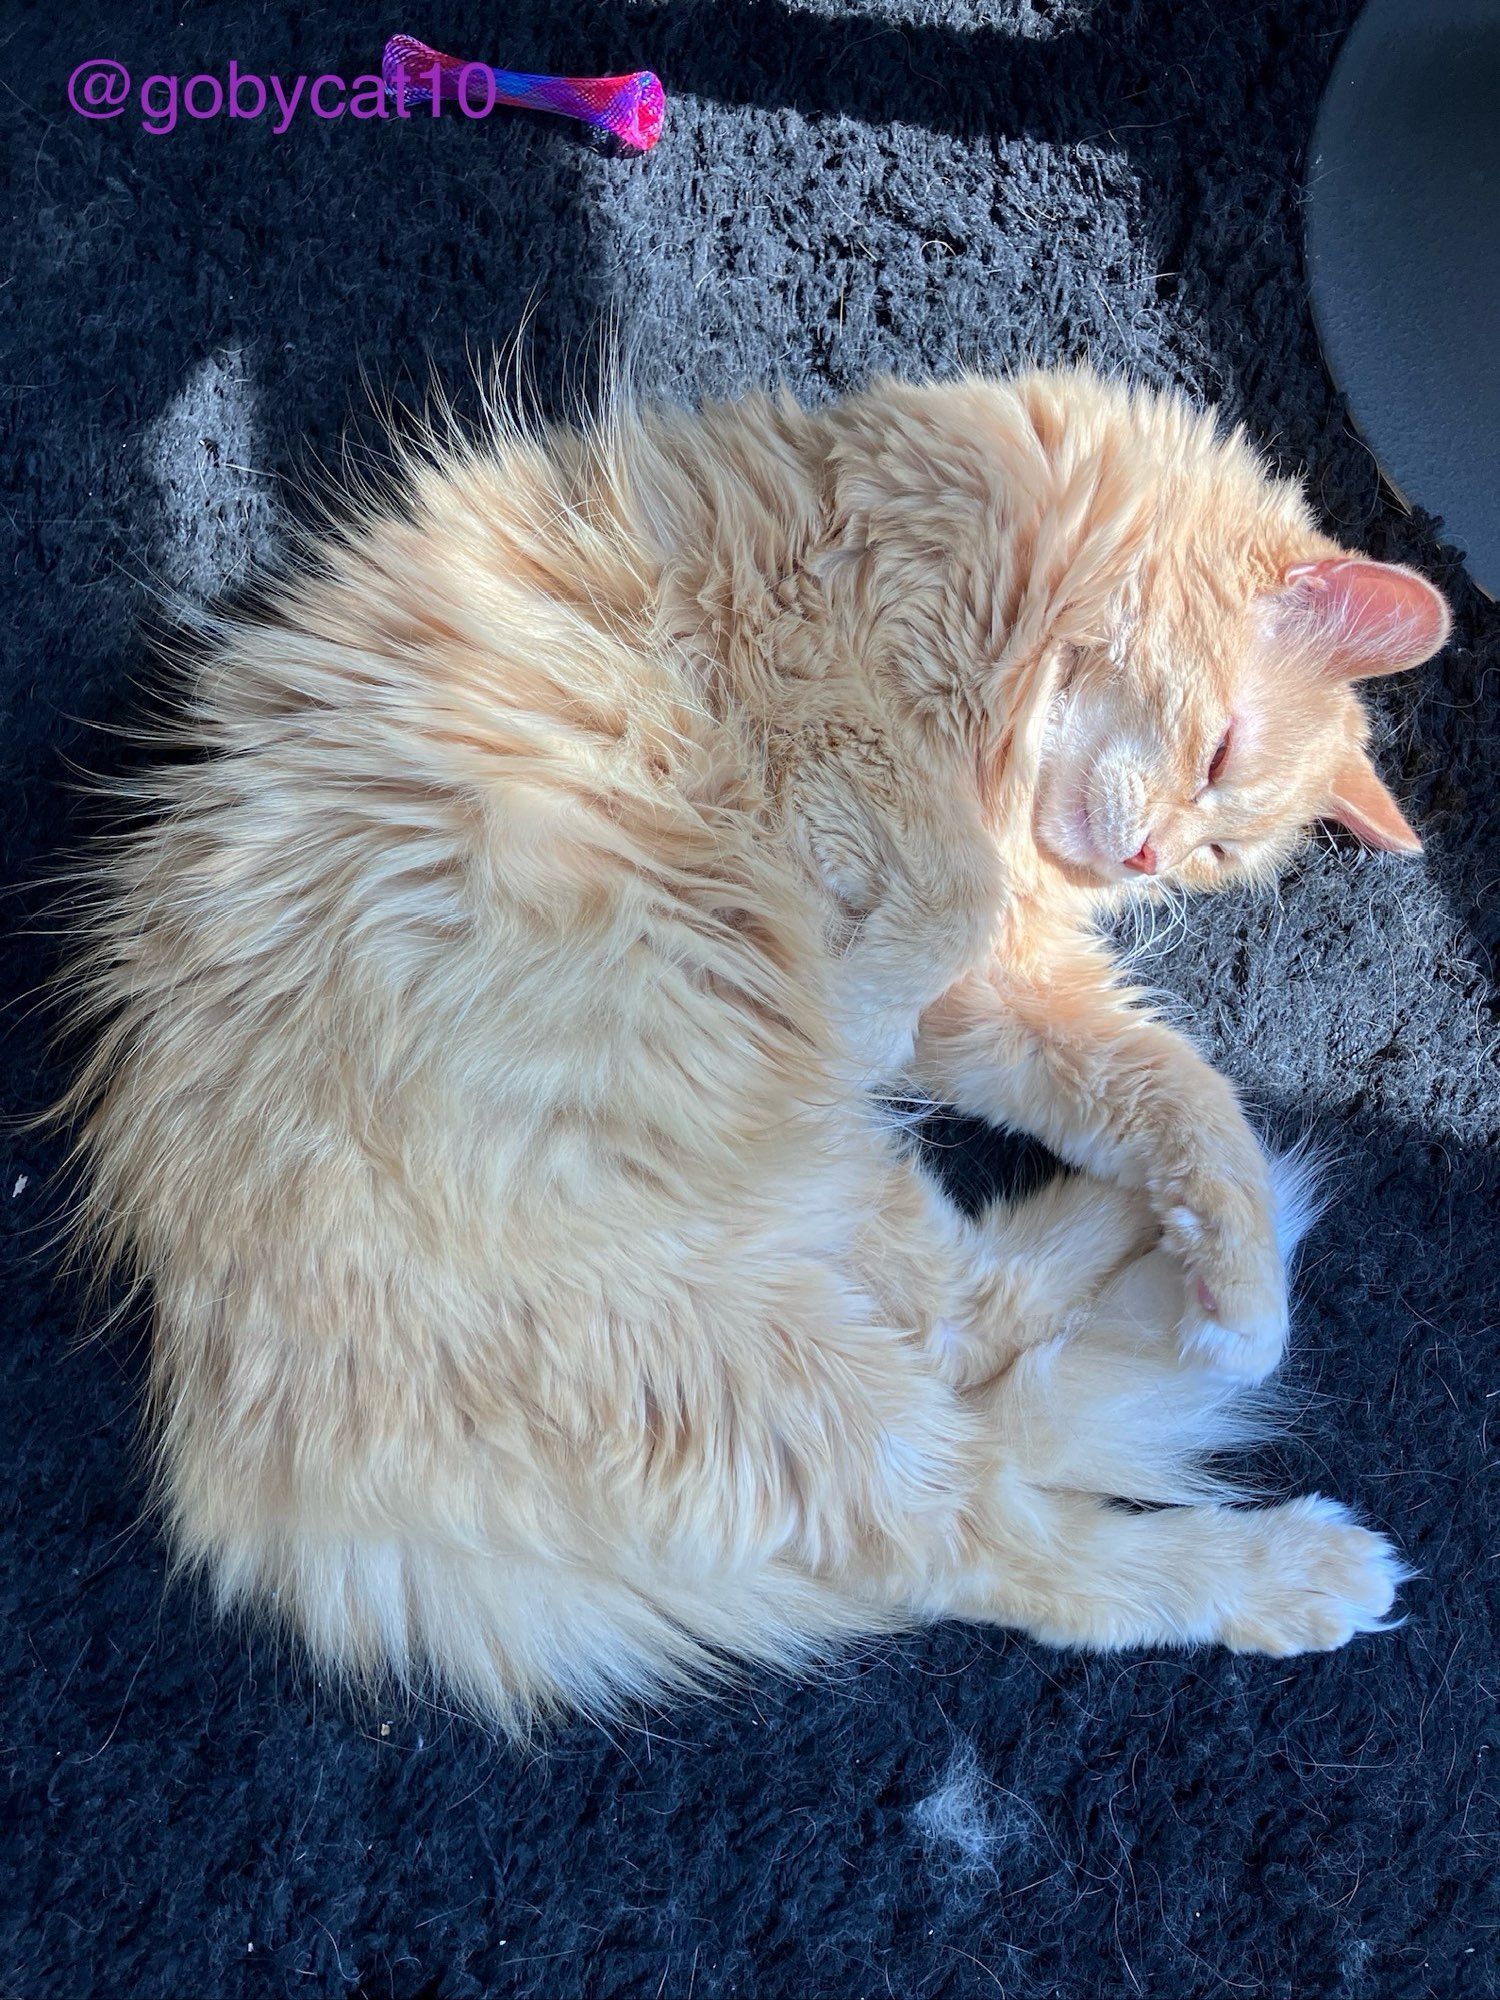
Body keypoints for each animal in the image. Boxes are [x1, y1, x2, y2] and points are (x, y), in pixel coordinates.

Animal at [64, 368, 1448, 1728]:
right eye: (1217, 754)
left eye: (1216, 854)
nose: (1150, 858)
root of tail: (265, 1475)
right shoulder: (831, 720)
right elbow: (948, 897)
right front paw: (865, 995)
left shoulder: (995, 1003)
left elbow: (1174, 1085)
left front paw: (1240, 1284)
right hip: (753, 1344)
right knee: (990, 1524)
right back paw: (1296, 1560)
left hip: (817, 1253)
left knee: (983, 1355)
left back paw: (1201, 1282)